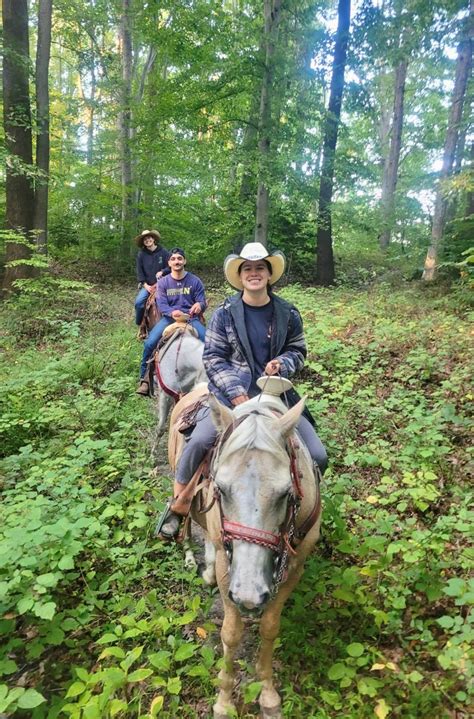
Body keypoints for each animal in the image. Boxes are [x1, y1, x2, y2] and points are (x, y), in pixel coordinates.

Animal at [167, 379, 322, 719]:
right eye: (221, 489)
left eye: (286, 493)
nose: (249, 596)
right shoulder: (229, 570)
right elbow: (231, 633)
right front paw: (224, 701)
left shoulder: (294, 568)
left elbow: (270, 628)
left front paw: (268, 693)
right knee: (187, 519)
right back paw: (188, 553)